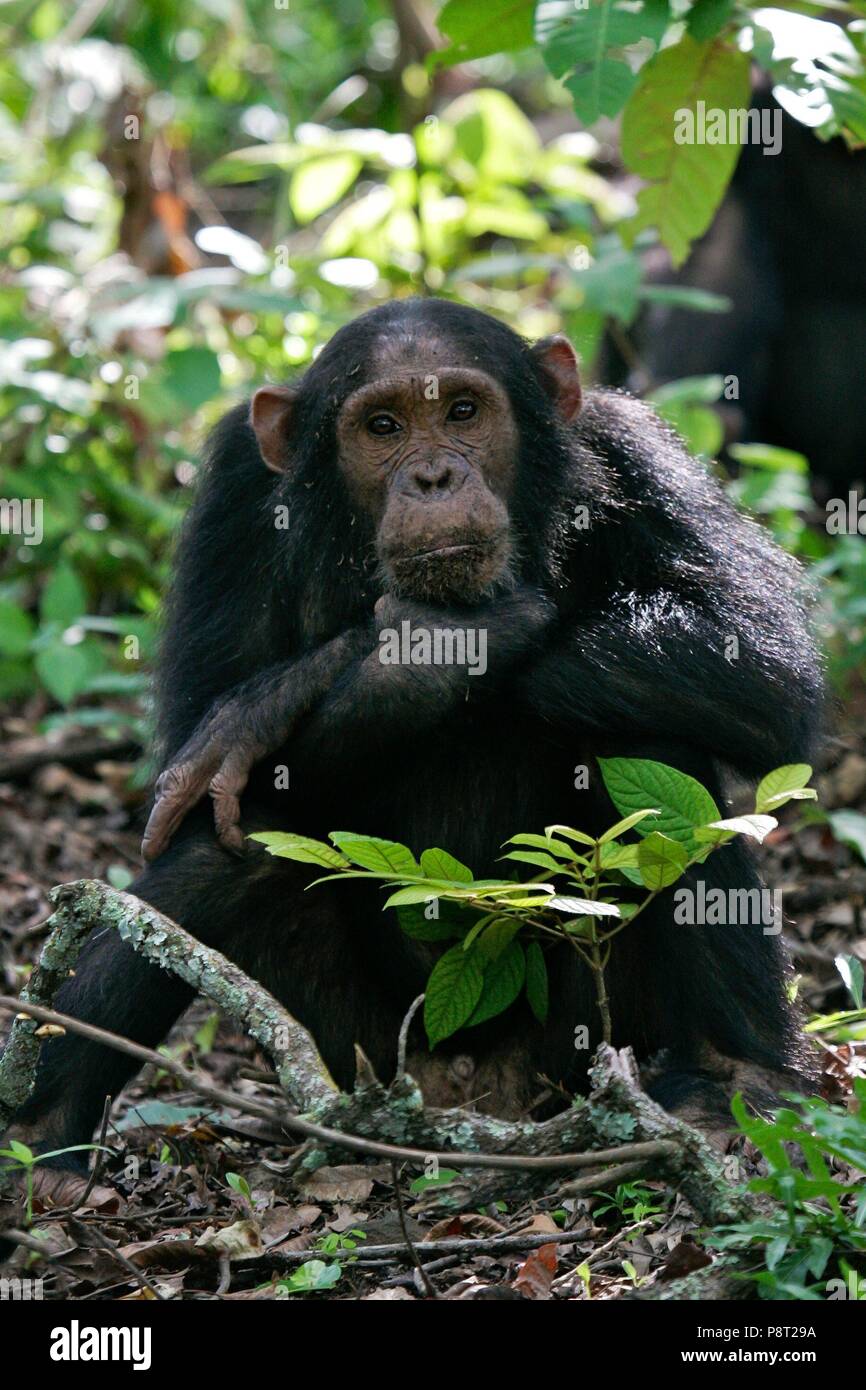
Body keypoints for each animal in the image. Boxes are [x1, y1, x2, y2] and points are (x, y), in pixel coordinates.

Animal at [8, 296, 828, 1173]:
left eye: (463, 412)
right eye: (384, 426)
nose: (434, 477)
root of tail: (470, 1098)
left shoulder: (638, 454)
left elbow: (760, 664)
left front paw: (311, 683)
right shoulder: (234, 490)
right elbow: (194, 735)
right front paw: (395, 658)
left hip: (578, 1044)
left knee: (653, 748)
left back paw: (732, 1084)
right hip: (353, 1048)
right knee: (232, 842)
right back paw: (40, 1129)